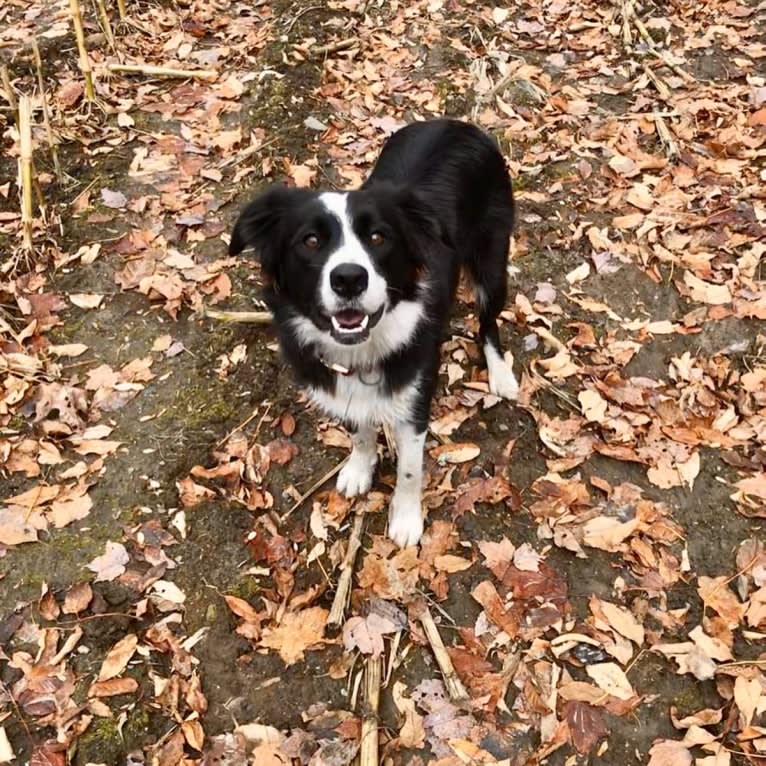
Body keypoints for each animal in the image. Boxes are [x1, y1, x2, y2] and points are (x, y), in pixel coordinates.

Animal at [231, 120, 520, 548]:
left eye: (378, 237)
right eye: (310, 241)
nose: (349, 278)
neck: (364, 347)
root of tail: (458, 123)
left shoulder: (414, 405)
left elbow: (410, 470)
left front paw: (406, 520)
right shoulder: (344, 386)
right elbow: (359, 433)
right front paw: (359, 467)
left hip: (491, 262)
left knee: (488, 322)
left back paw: (500, 373)